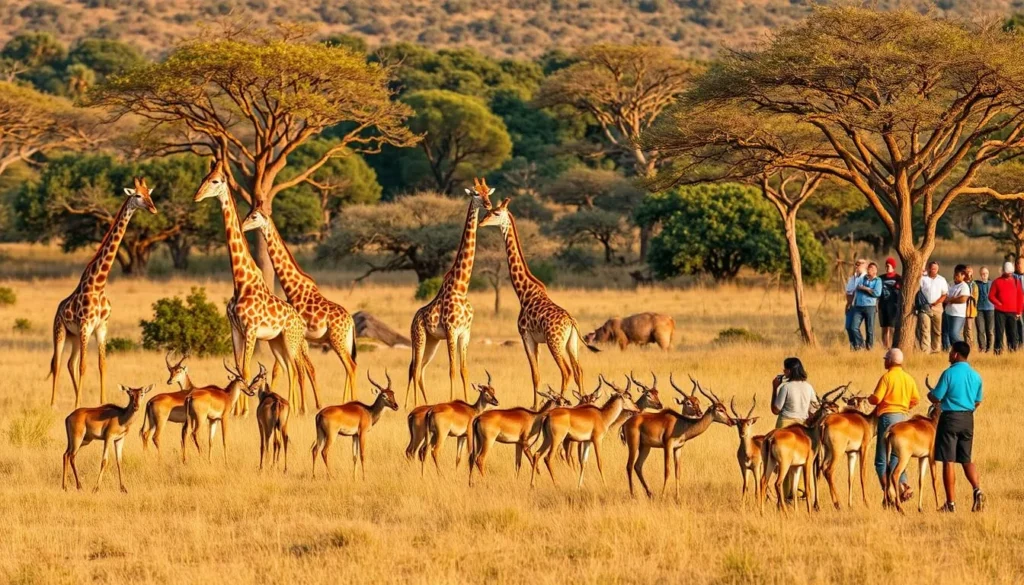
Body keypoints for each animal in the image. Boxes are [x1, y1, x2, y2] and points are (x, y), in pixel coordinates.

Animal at [49, 177, 158, 408]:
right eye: (137, 195)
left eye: (149, 194)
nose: (153, 209)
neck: (98, 286)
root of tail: (58, 309)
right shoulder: (85, 326)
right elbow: (84, 366)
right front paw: (76, 406)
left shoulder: (101, 328)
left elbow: (102, 365)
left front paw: (100, 403)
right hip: (60, 331)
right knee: (57, 362)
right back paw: (53, 404)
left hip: (74, 337)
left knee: (69, 363)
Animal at [192, 159, 314, 415]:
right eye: (203, 178)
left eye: (215, 181)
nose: (197, 196)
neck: (241, 281)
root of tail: (300, 320)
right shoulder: (236, 329)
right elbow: (239, 367)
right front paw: (237, 410)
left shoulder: (251, 329)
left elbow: (246, 368)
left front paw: (244, 410)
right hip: (277, 341)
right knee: (291, 369)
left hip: (290, 340)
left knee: (298, 369)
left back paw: (301, 409)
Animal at [240, 208, 356, 404]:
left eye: (254, 216)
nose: (241, 226)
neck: (293, 288)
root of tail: (351, 323)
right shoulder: (296, 337)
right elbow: (294, 369)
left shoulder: (297, 336)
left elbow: (299, 369)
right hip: (343, 342)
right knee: (349, 368)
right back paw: (345, 402)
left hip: (337, 341)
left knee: (351, 367)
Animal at [405, 177, 493, 407]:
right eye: (475, 194)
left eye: (487, 192)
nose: (489, 205)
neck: (461, 288)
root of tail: (413, 319)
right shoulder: (451, 331)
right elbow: (452, 370)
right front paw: (453, 401)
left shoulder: (465, 332)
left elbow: (463, 370)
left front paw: (467, 401)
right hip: (419, 337)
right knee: (414, 369)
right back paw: (413, 405)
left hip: (433, 341)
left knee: (420, 370)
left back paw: (424, 403)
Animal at [479, 197, 599, 407]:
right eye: (488, 211)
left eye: (496, 213)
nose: (481, 223)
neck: (524, 292)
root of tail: (571, 322)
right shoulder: (536, 340)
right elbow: (537, 373)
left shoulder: (526, 336)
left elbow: (534, 374)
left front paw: (534, 407)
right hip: (571, 343)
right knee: (579, 371)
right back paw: (581, 404)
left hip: (555, 342)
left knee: (566, 371)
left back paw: (561, 402)